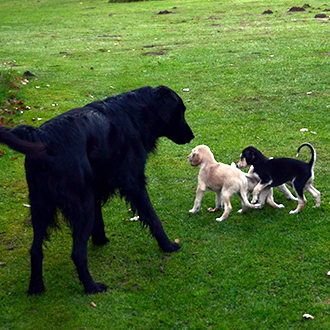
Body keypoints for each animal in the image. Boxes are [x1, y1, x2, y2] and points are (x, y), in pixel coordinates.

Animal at [0, 85, 193, 294]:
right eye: (180, 112)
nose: (192, 136)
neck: (136, 114)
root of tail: (41, 137)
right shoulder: (133, 182)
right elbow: (152, 216)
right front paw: (167, 245)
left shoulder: (95, 187)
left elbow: (99, 217)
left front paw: (100, 239)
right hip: (80, 206)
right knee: (77, 253)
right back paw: (91, 287)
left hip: (40, 206)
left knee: (35, 250)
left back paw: (36, 287)